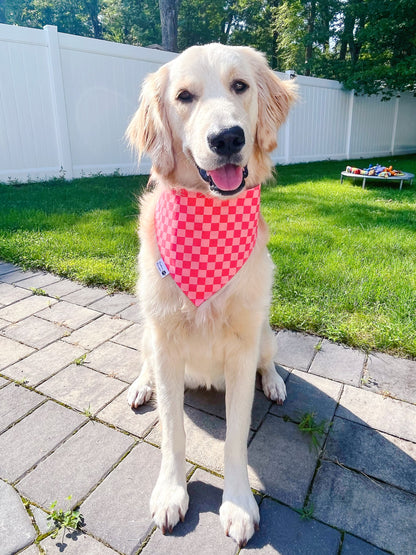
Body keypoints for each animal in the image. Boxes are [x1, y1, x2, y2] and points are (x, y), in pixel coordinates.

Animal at [127, 44, 296, 548]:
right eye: (184, 96)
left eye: (240, 86)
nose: (227, 138)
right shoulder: (164, 342)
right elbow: (172, 430)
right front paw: (171, 491)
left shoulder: (242, 349)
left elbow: (238, 438)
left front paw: (238, 504)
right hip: (147, 332)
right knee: (145, 366)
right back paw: (140, 386)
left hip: (265, 332)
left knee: (269, 361)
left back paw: (275, 382)